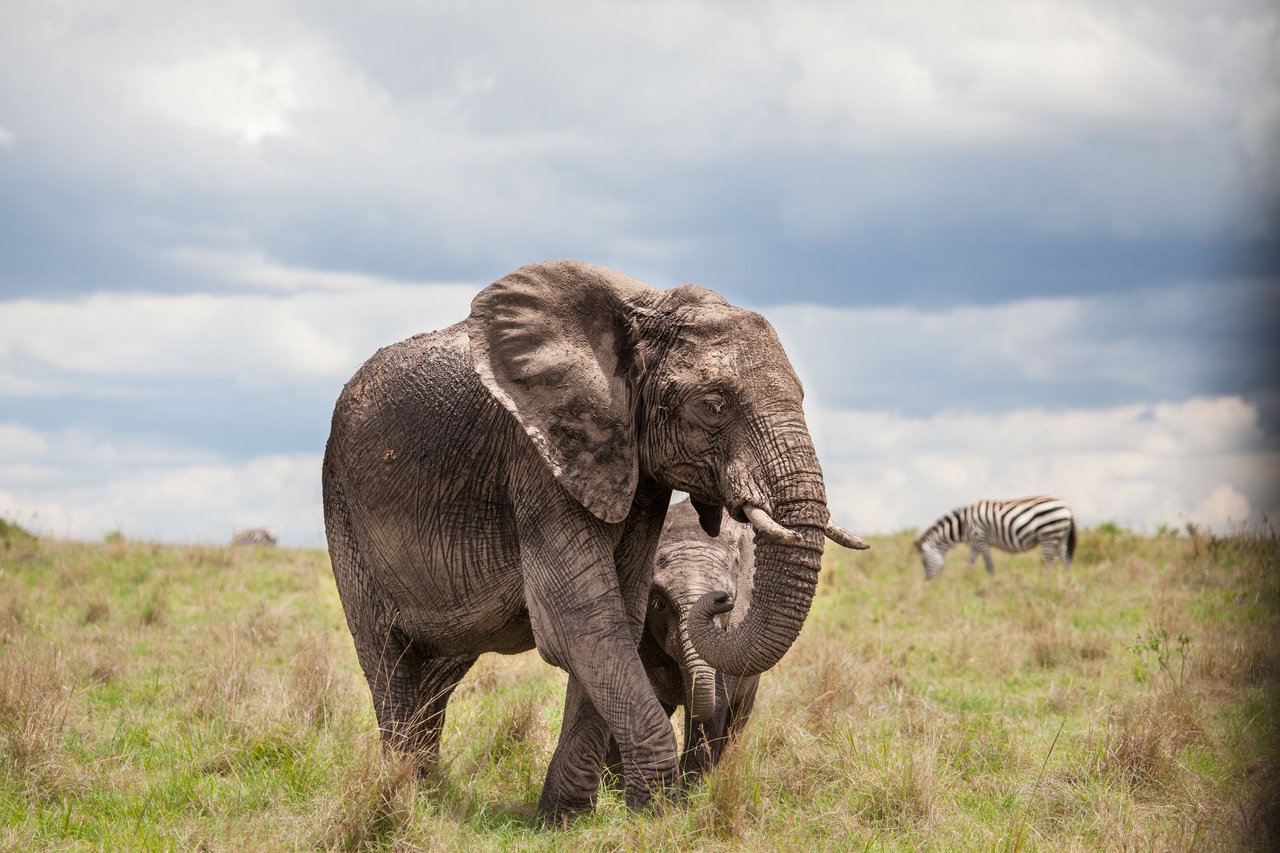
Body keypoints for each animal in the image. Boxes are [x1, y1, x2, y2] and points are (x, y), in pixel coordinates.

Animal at [320, 257, 865, 819]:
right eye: (714, 404)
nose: (720, 601)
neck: (644, 311)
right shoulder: (538, 459)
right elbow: (578, 621)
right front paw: (656, 812)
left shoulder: (633, 471)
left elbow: (618, 613)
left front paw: (565, 817)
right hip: (345, 512)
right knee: (391, 659)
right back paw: (406, 798)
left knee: (438, 674)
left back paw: (429, 793)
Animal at [916, 494, 1075, 581]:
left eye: (924, 562)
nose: (927, 581)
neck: (963, 525)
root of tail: (1067, 507)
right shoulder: (975, 544)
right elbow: (968, 563)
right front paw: (965, 580)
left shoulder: (981, 539)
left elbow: (989, 565)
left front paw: (994, 582)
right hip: (1059, 537)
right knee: (1065, 559)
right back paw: (1067, 580)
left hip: (1048, 534)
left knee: (1049, 563)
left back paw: (1044, 582)